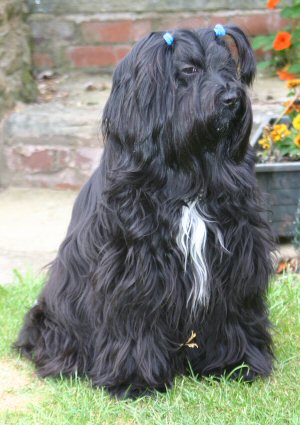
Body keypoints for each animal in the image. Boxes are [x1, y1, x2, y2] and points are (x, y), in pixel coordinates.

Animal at [15, 25, 274, 398]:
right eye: (189, 70)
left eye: (228, 68)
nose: (232, 98)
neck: (188, 169)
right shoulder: (134, 268)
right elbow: (135, 319)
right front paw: (133, 381)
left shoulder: (236, 254)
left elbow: (233, 310)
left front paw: (236, 363)